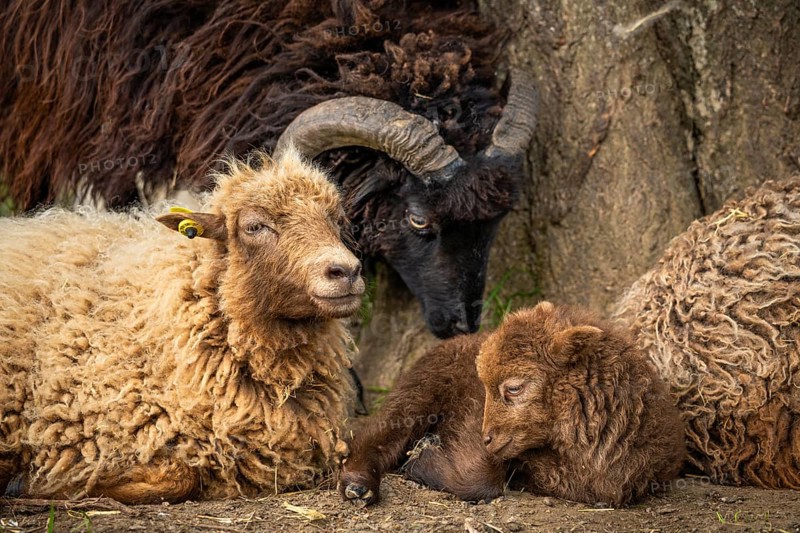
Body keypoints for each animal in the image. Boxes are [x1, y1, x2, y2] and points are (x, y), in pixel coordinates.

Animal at [0, 148, 365, 503]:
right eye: (255, 226)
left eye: (336, 219)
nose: (346, 271)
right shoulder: (88, 428)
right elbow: (178, 479)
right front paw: (52, 486)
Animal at [339, 302, 685, 506]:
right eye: (484, 386)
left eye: (514, 388)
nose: (487, 438)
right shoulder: (472, 419)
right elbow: (480, 477)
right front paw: (422, 458)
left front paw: (422, 455)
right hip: (421, 388)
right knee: (378, 433)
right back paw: (358, 485)